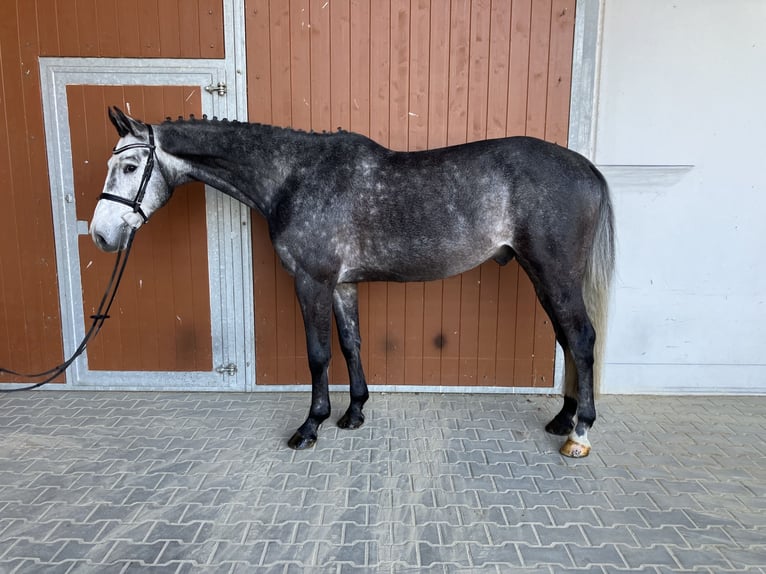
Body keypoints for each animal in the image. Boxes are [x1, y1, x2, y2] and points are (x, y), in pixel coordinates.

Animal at [91, 107, 616, 460]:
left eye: (130, 167)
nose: (101, 235)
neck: (293, 177)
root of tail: (586, 167)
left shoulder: (312, 281)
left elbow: (319, 354)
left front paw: (310, 426)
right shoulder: (342, 285)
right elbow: (350, 343)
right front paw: (355, 412)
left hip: (554, 274)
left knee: (581, 338)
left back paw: (580, 433)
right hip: (544, 277)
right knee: (568, 339)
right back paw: (563, 419)